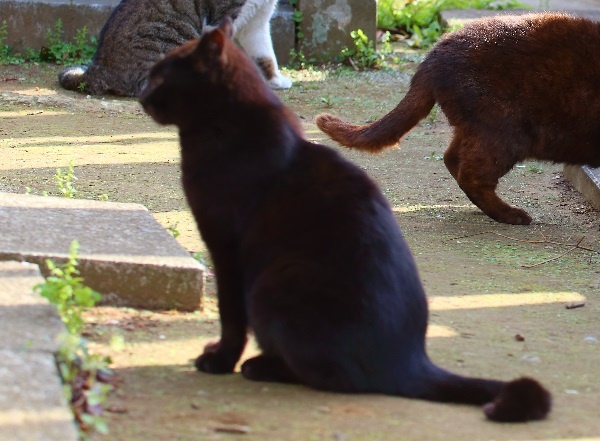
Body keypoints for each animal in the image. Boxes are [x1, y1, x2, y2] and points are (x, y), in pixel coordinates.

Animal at [138, 18, 552, 422]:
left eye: (159, 79)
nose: (140, 94)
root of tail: (409, 361)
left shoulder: (224, 247)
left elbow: (231, 316)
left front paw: (219, 360)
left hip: (272, 283)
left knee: (330, 375)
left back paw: (261, 367)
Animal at [316, 12, 596, 225]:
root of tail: (433, 54)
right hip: (504, 134)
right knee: (471, 175)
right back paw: (512, 215)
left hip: (476, 127)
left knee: (453, 158)